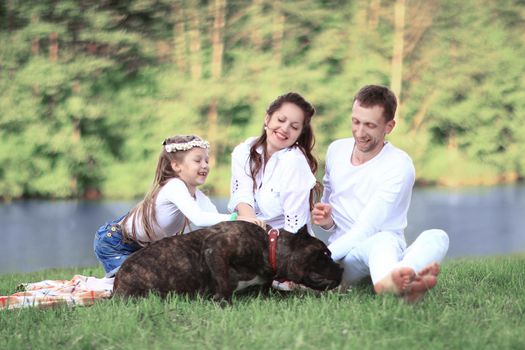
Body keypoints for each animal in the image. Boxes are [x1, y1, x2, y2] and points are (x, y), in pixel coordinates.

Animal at [113, 221, 344, 300]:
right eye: (324, 254)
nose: (341, 268)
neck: (268, 248)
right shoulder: (215, 248)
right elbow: (222, 280)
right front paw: (223, 302)